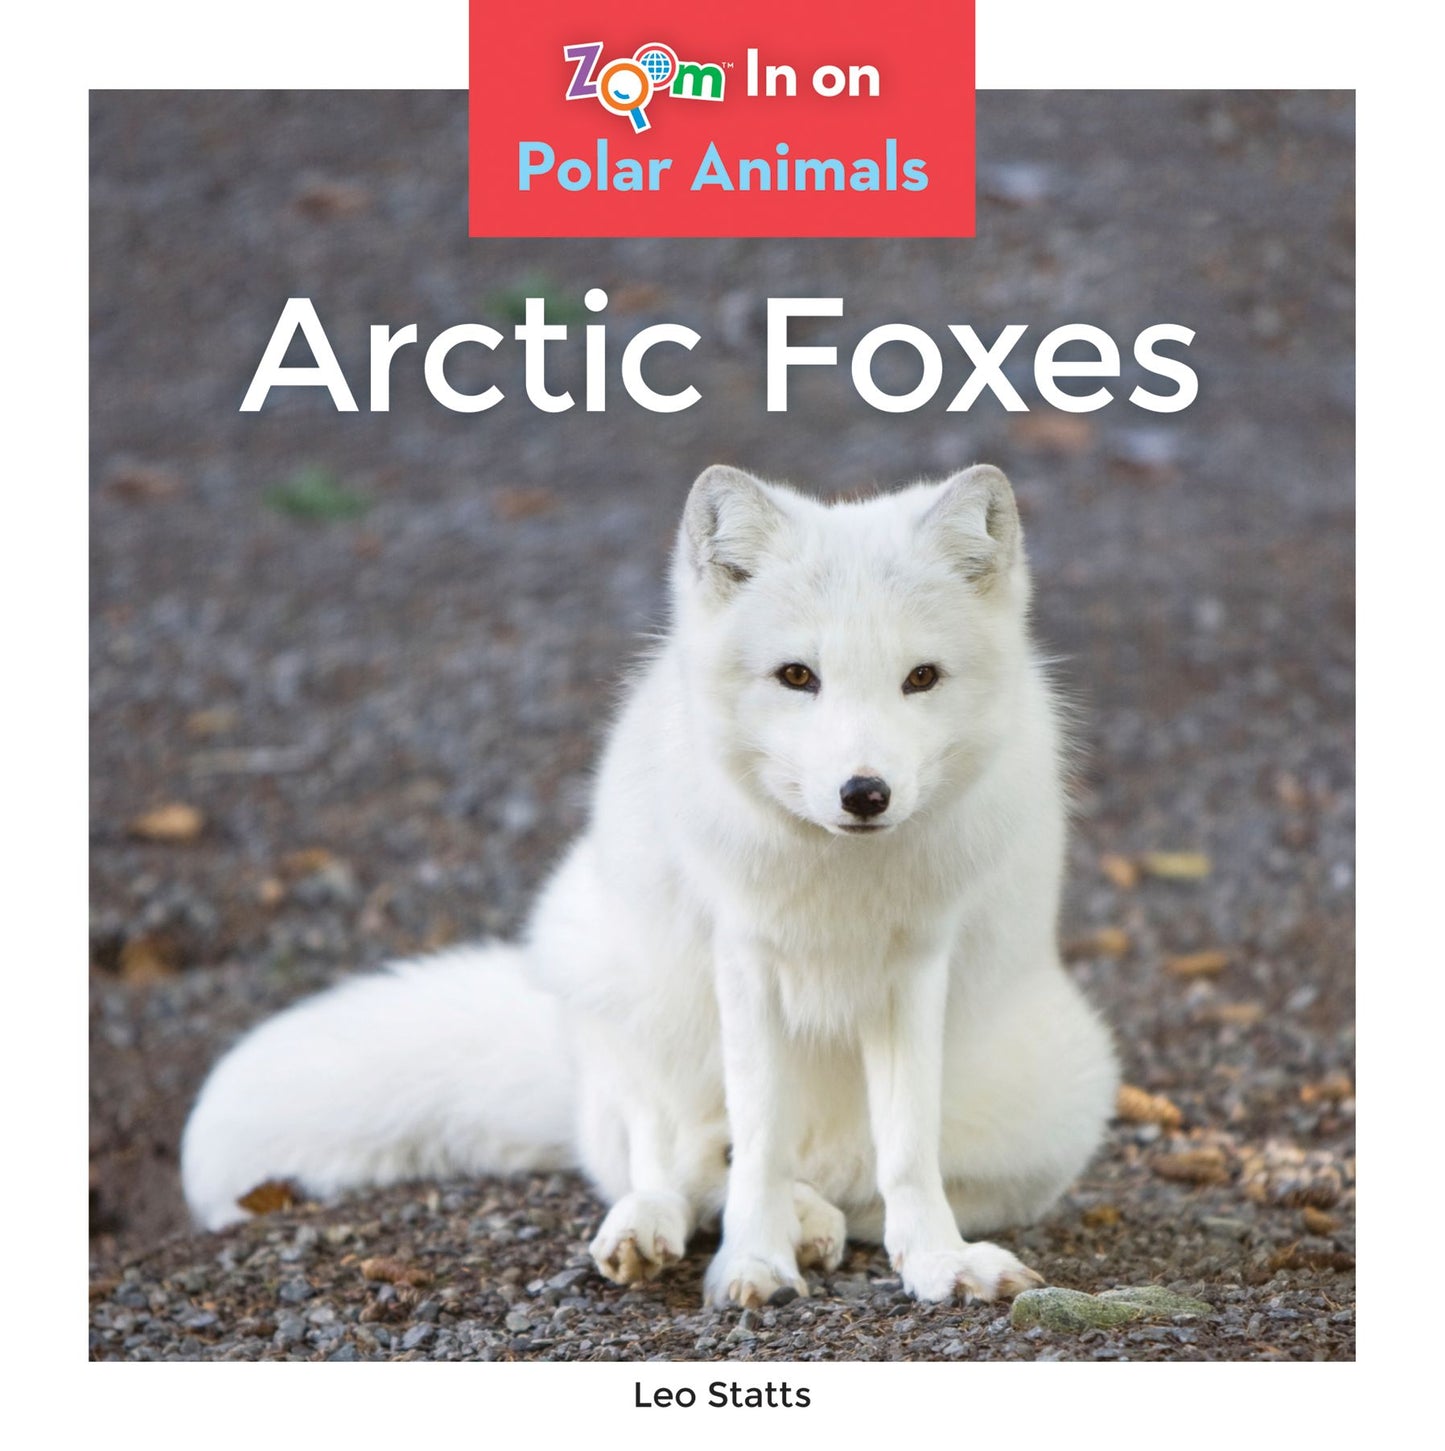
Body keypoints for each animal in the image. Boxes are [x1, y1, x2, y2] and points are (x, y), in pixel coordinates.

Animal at [181, 463, 1119, 1308]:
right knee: (673, 1159)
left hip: (1058, 1100)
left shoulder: (917, 964)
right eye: (797, 676)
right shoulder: (743, 959)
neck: (836, 882)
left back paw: (817, 1220)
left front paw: (935, 1261)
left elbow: (906, 1150)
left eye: (920, 677)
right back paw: (664, 1227)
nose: (864, 793)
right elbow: (757, 1140)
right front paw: (753, 1262)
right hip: (622, 993)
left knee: (841, 1188)